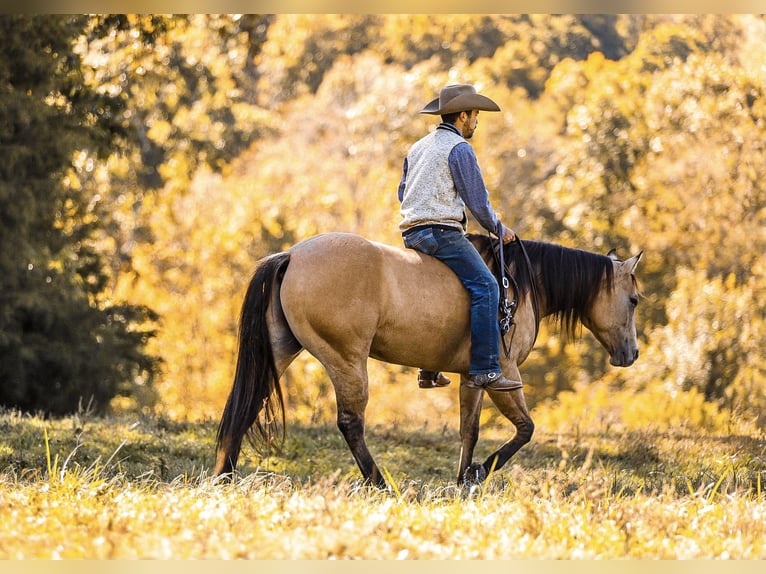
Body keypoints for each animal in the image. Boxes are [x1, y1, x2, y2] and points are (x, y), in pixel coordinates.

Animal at [213, 232, 644, 488]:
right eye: (634, 300)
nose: (632, 354)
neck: (518, 284)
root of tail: (292, 256)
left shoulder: (474, 378)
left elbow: (469, 430)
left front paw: (464, 479)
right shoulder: (505, 375)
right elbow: (525, 429)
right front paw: (479, 471)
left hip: (281, 351)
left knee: (248, 405)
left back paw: (224, 476)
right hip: (347, 360)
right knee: (351, 423)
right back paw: (380, 484)